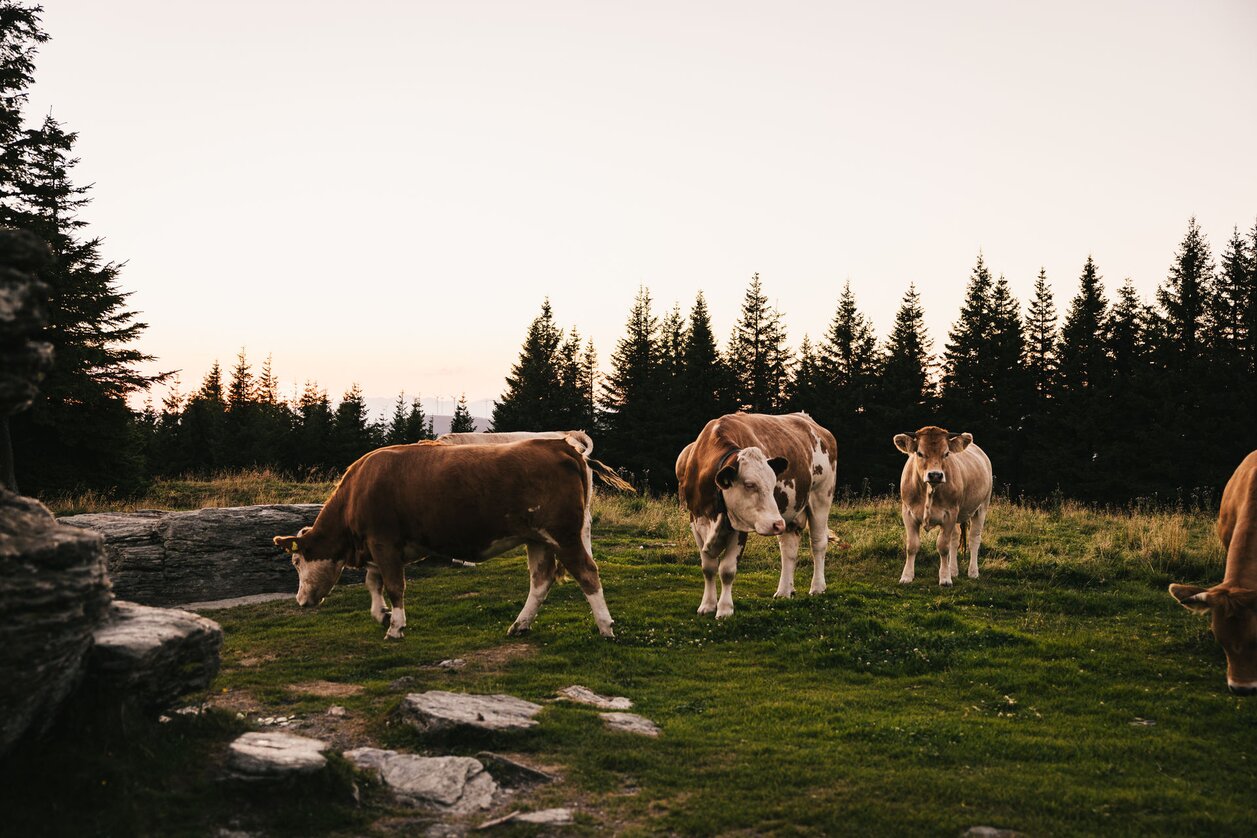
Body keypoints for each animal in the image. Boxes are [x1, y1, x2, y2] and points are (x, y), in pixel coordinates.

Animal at [271, 438, 617, 640]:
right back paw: (520, 625)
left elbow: (394, 585)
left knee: (587, 572)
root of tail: (560, 444)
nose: (301, 600)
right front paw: (381, 614)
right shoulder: (379, 547)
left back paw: (605, 627)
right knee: (541, 580)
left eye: (296, 560)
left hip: (564, 534)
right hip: (538, 539)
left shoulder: (383, 541)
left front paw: (395, 626)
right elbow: (373, 582)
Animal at [676, 412, 838, 618]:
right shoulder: (696, 520)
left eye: (773, 482)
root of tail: (807, 419)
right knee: (788, 550)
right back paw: (785, 591)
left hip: (821, 496)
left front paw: (725, 609)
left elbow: (727, 570)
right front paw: (707, 605)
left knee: (818, 543)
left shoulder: (740, 524)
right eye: (749, 484)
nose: (777, 524)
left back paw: (817, 587)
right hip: (790, 514)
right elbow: (708, 568)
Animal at [893, 426, 992, 586]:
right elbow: (912, 546)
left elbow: (943, 546)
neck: (930, 490)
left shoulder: (950, 514)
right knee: (955, 539)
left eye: (946, 453)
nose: (935, 475)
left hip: (982, 507)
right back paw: (953, 570)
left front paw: (945, 578)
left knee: (974, 539)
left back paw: (973, 572)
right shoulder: (908, 513)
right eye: (919, 453)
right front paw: (907, 576)